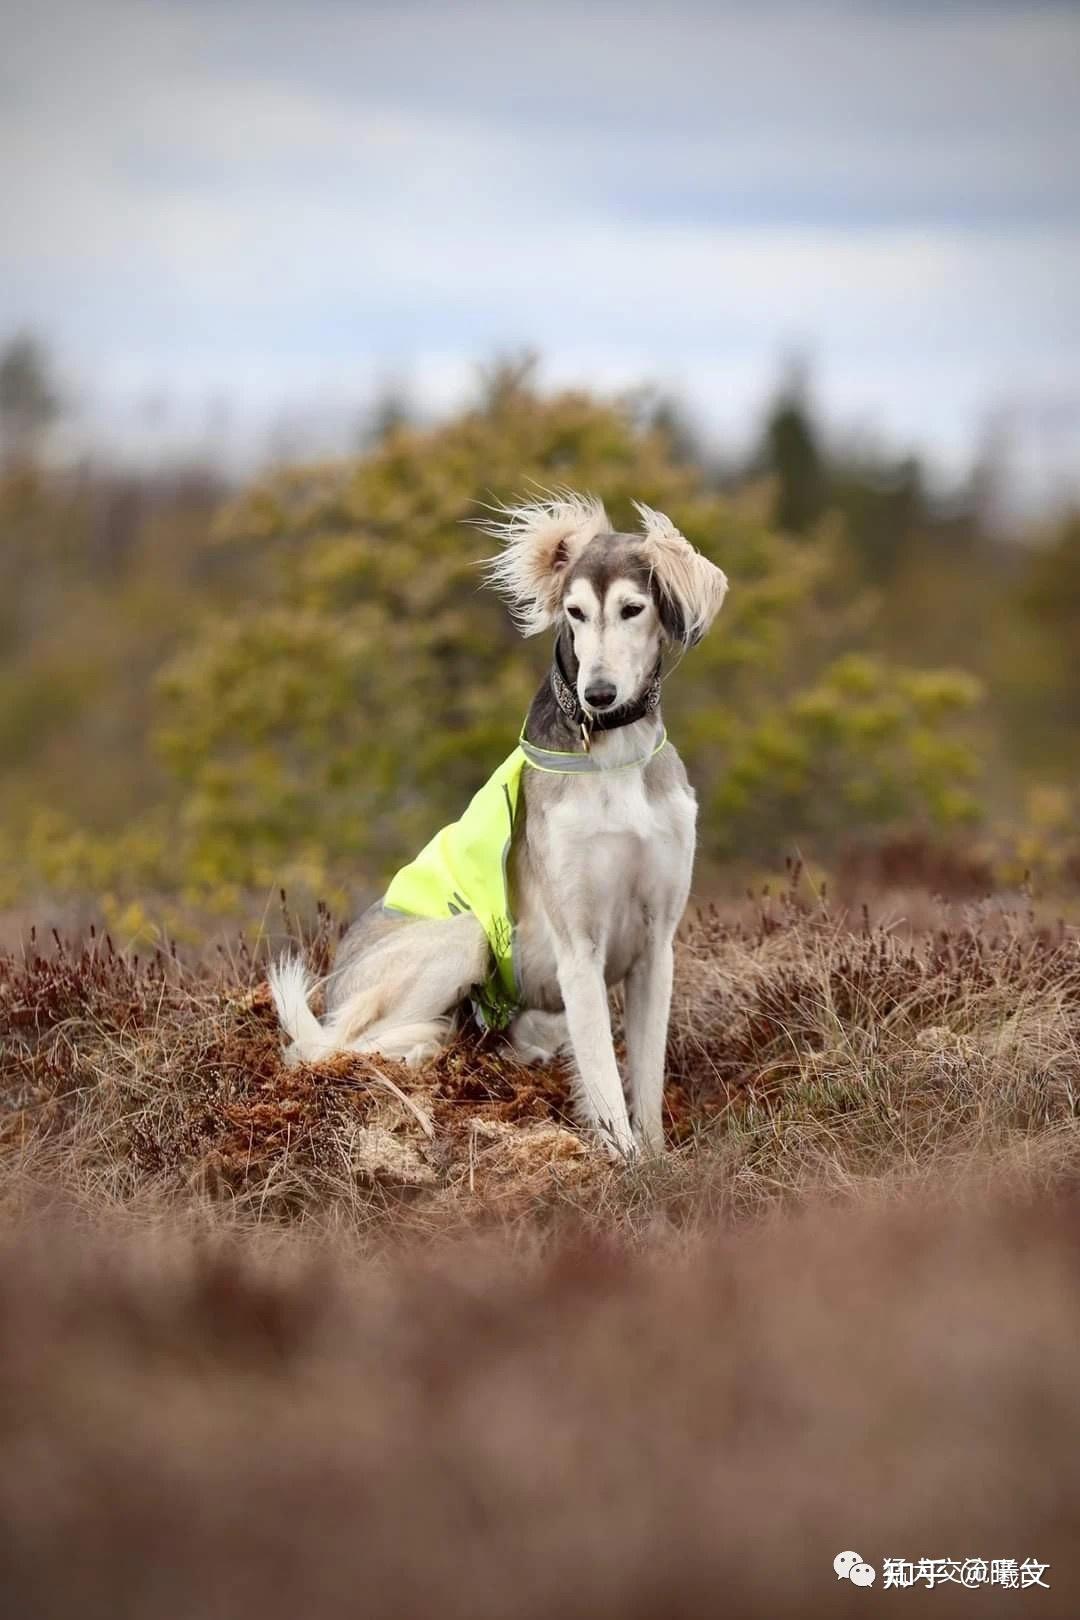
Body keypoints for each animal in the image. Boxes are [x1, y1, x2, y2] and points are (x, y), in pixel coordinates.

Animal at [268, 489, 725, 1153]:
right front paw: (627, 1161)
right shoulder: (578, 949)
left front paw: (659, 1158)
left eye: (632, 609)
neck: (612, 759)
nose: (599, 695)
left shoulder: (655, 945)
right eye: (575, 612)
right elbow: (604, 1078)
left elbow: (645, 1080)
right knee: (333, 1048)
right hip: (464, 934)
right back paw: (425, 1047)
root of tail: (337, 981)